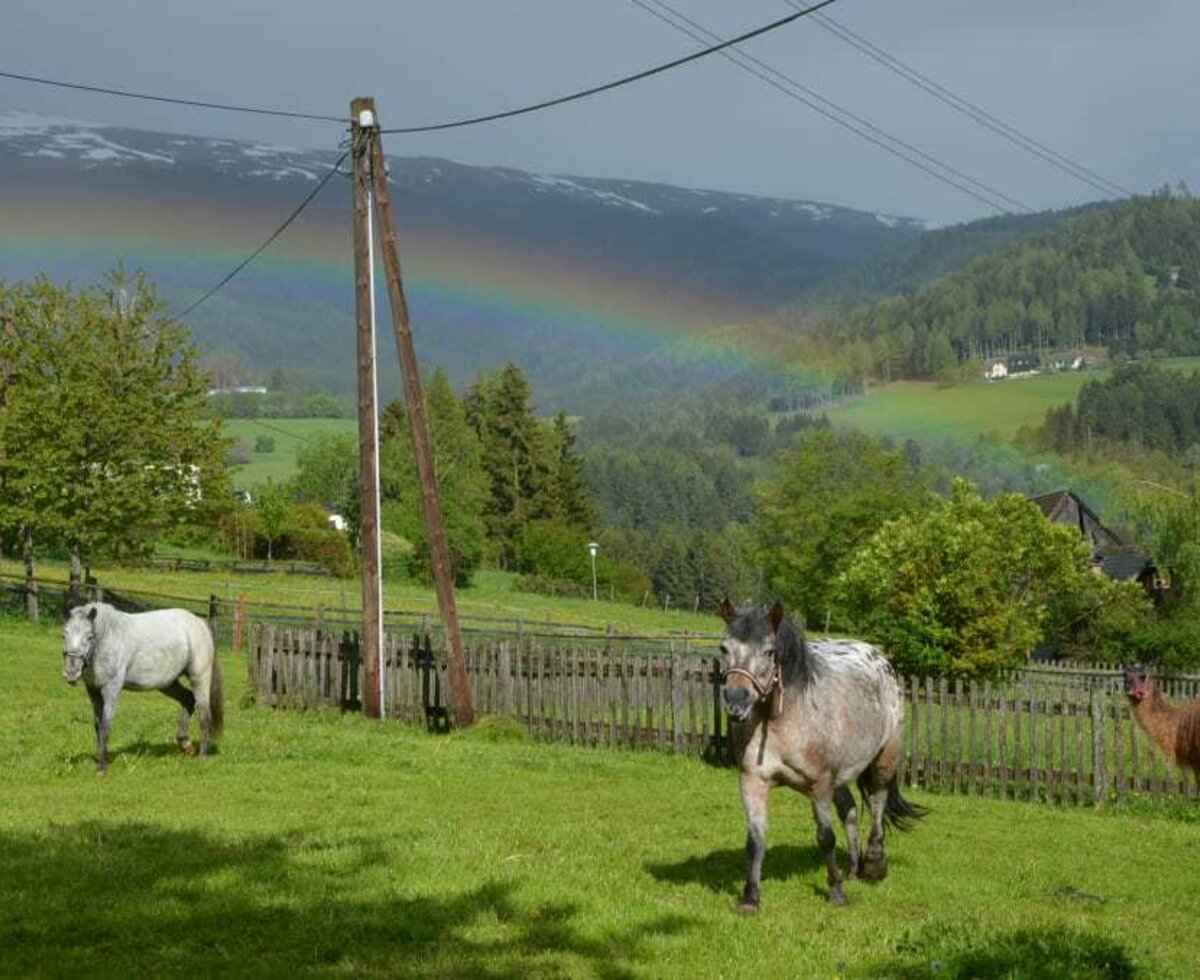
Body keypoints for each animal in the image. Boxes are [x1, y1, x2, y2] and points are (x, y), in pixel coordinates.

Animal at [62, 597, 223, 772]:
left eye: (89, 636)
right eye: (64, 635)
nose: (71, 673)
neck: (108, 637)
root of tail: (199, 623)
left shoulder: (111, 689)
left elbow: (105, 726)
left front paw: (102, 768)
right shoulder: (93, 690)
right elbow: (97, 725)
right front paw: (100, 760)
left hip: (199, 679)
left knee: (204, 716)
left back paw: (202, 756)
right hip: (168, 683)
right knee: (188, 699)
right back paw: (185, 744)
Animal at [715, 597, 921, 911]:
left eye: (769, 651)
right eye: (724, 648)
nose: (736, 701)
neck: (782, 720)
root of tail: (878, 656)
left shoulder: (820, 783)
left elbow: (825, 837)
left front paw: (836, 893)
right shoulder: (753, 780)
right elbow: (755, 840)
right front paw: (750, 898)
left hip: (884, 760)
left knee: (877, 803)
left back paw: (873, 866)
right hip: (841, 777)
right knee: (850, 810)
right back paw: (853, 868)